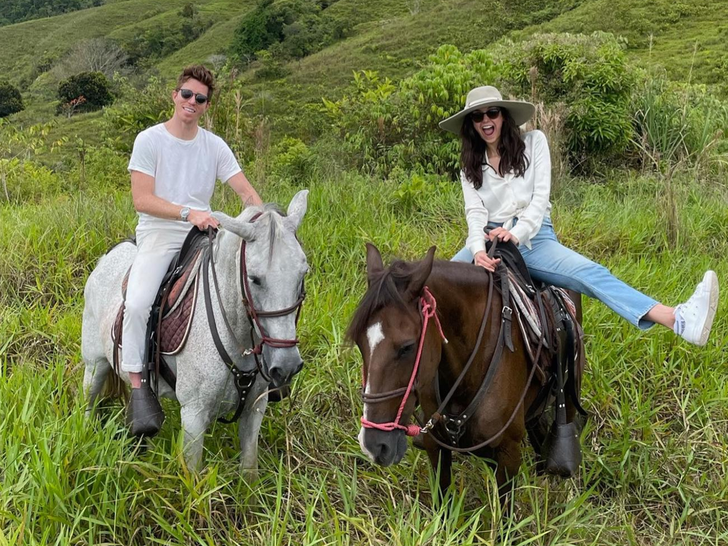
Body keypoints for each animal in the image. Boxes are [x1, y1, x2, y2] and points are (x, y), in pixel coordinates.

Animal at [82, 188, 310, 472]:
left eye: (303, 273)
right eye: (254, 279)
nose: (286, 366)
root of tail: (108, 255)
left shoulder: (255, 408)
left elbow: (249, 470)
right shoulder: (194, 414)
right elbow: (193, 478)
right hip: (95, 365)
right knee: (88, 403)